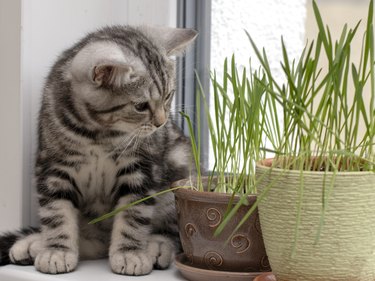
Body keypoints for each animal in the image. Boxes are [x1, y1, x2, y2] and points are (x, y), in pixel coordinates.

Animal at [0, 25, 198, 274]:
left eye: (169, 96)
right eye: (140, 106)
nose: (161, 123)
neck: (98, 133)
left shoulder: (141, 169)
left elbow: (133, 215)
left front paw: (130, 253)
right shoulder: (53, 167)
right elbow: (56, 213)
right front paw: (57, 250)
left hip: (179, 172)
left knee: (171, 231)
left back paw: (156, 246)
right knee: (91, 240)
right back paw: (34, 244)